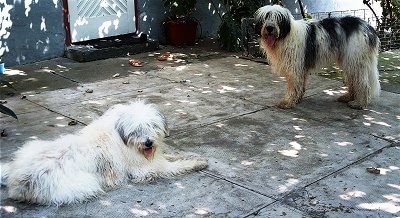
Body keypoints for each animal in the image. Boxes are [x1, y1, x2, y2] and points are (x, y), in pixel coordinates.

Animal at [2, 101, 209, 205]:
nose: (148, 142)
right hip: (83, 183)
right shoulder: (145, 169)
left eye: (152, 126)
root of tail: (18, 182)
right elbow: (174, 166)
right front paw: (197, 163)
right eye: (136, 130)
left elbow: (169, 157)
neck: (122, 135)